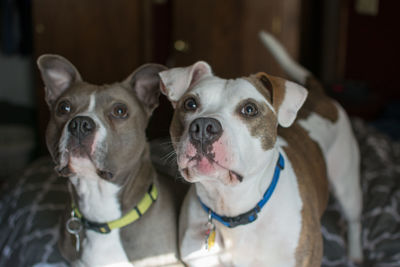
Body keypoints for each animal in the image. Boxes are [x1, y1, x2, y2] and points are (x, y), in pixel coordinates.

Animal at [159, 31, 362, 267]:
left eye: (249, 109)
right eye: (190, 104)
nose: (203, 127)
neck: (231, 206)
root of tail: (318, 95)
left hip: (346, 182)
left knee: (354, 218)